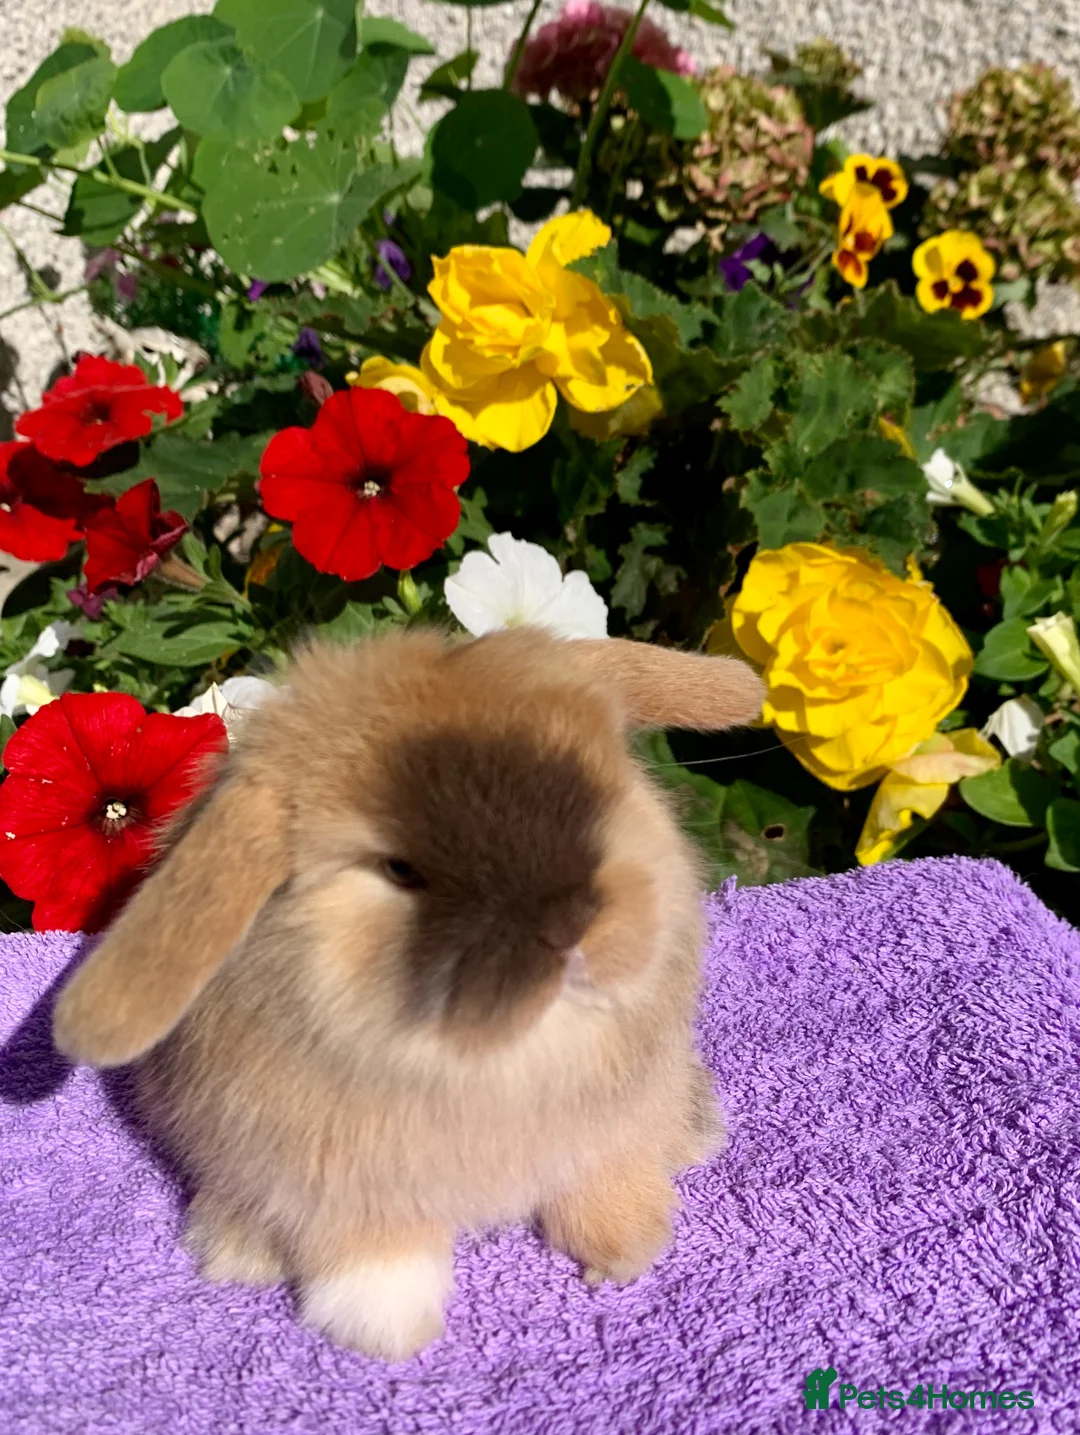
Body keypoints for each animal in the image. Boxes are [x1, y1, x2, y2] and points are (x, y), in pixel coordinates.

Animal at [52, 626, 764, 1360]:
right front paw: (386, 1327)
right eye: (401, 869)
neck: (506, 1058)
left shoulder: (608, 1126)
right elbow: (371, 1246)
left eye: (596, 793)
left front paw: (625, 1248)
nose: (576, 929)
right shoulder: (328, 1171)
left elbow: (605, 1174)